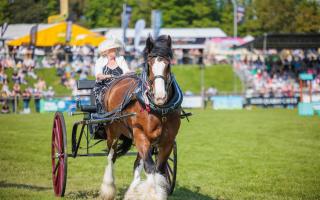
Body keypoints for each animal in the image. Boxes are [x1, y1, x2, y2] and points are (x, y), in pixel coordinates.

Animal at [99, 35, 181, 199]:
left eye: (168, 64)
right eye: (149, 64)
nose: (160, 97)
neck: (160, 110)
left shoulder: (167, 141)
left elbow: (159, 168)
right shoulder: (140, 134)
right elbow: (150, 167)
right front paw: (153, 193)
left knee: (137, 163)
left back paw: (132, 191)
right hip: (113, 132)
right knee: (111, 156)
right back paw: (108, 187)